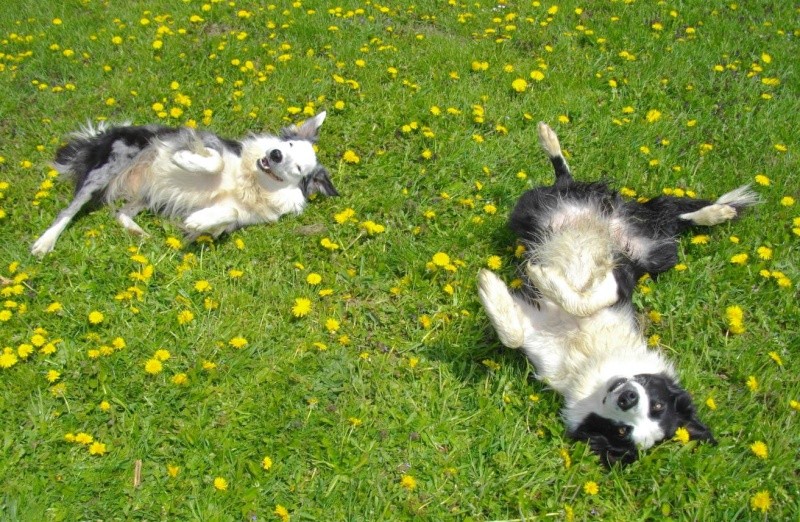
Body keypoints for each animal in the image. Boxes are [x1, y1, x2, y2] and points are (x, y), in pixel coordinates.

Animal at [30, 111, 338, 254]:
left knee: (120, 213)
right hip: (107, 168)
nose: (274, 155)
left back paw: (140, 233)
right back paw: (44, 243)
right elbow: (214, 160)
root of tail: (99, 136)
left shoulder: (234, 220)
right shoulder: (208, 146)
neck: (254, 182)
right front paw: (182, 159)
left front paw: (196, 222)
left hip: (144, 194)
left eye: (297, 168)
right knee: (67, 211)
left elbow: (229, 212)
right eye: (288, 144)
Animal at [478, 122, 760, 464]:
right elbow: (586, 300)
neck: (589, 354)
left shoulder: (539, 329)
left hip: (653, 253)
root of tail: (614, 216)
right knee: (581, 182)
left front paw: (492, 287)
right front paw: (537, 278)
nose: (627, 397)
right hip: (541, 213)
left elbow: (514, 335)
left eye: (624, 431)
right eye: (658, 404)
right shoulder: (620, 273)